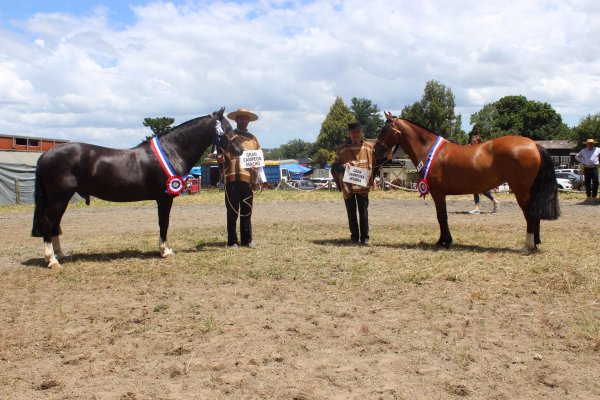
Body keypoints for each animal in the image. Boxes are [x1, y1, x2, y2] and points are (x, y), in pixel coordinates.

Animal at [31, 108, 244, 268]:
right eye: (226, 128)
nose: (240, 149)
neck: (172, 150)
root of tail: (46, 154)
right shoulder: (164, 198)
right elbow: (164, 223)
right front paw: (165, 251)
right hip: (59, 197)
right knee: (48, 222)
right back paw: (52, 260)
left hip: (61, 198)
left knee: (55, 224)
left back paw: (60, 255)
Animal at [372, 111, 560, 252]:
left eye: (385, 130)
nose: (376, 152)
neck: (429, 150)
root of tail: (534, 145)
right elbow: (442, 217)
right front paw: (443, 240)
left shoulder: (438, 193)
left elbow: (442, 217)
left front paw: (444, 242)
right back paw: (535, 243)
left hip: (521, 190)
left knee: (530, 214)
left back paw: (528, 246)